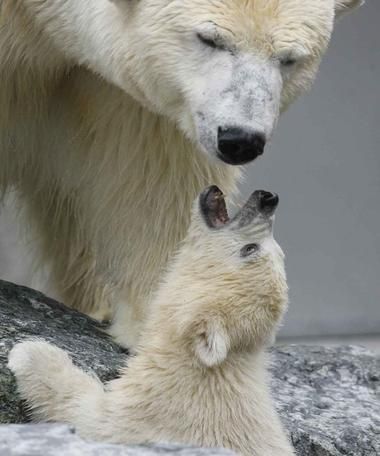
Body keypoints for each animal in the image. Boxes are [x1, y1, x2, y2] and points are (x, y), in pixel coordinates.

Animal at [9, 185, 294, 456]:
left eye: (249, 249)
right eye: (277, 251)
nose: (268, 199)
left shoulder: (154, 410)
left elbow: (91, 417)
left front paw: (30, 353)